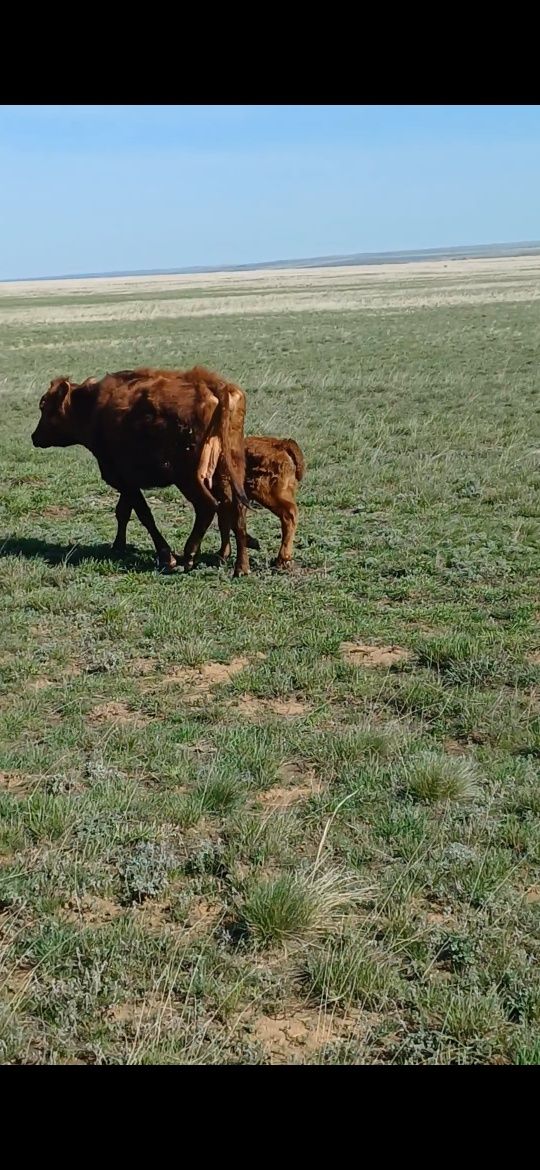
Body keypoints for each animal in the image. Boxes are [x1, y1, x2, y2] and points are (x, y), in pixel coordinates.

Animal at [32, 365, 252, 575]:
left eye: (45, 406)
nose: (35, 437)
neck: (94, 408)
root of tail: (211, 384)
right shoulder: (126, 482)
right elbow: (123, 512)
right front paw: (118, 546)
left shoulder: (125, 480)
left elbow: (144, 515)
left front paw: (166, 556)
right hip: (226, 473)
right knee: (235, 510)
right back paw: (237, 564)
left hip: (188, 479)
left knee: (208, 506)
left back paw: (189, 555)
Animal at [183, 435, 306, 570]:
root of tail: (281, 444)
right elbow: (225, 524)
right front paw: (223, 554)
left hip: (266, 493)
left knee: (289, 515)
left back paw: (282, 559)